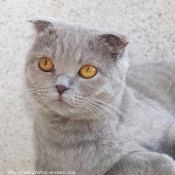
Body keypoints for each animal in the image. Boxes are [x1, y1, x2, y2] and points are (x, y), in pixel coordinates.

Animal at [25, 16, 175, 175]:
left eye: (88, 70)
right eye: (45, 63)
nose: (61, 86)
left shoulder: (166, 125)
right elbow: (123, 164)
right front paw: (165, 163)